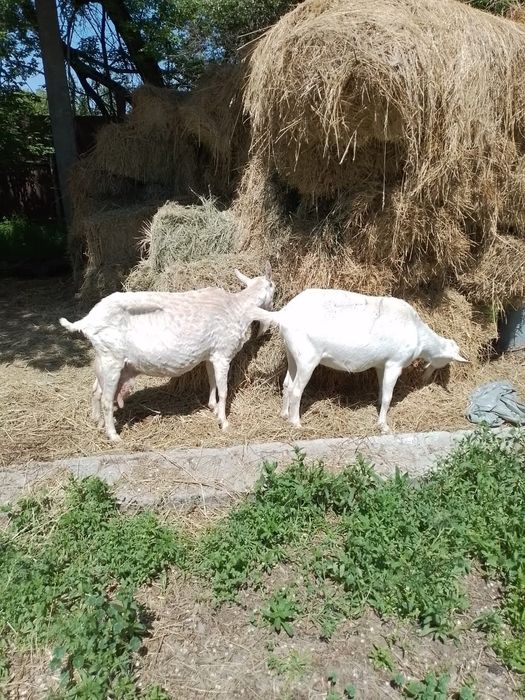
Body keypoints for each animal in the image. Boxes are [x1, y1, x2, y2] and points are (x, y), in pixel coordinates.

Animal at [60, 264, 274, 441]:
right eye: (275, 289)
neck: (237, 307)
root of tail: (87, 321)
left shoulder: (211, 355)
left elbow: (212, 380)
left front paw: (212, 407)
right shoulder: (223, 353)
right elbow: (224, 390)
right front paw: (224, 422)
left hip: (103, 359)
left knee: (96, 390)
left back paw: (98, 422)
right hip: (111, 358)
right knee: (105, 399)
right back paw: (113, 436)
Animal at [250, 289, 467, 432]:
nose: (426, 377)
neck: (418, 334)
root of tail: (284, 314)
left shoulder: (381, 364)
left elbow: (382, 389)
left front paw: (378, 406)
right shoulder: (394, 363)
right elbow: (389, 396)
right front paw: (384, 425)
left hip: (292, 352)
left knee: (287, 383)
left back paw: (284, 414)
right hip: (308, 357)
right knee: (296, 389)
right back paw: (296, 423)